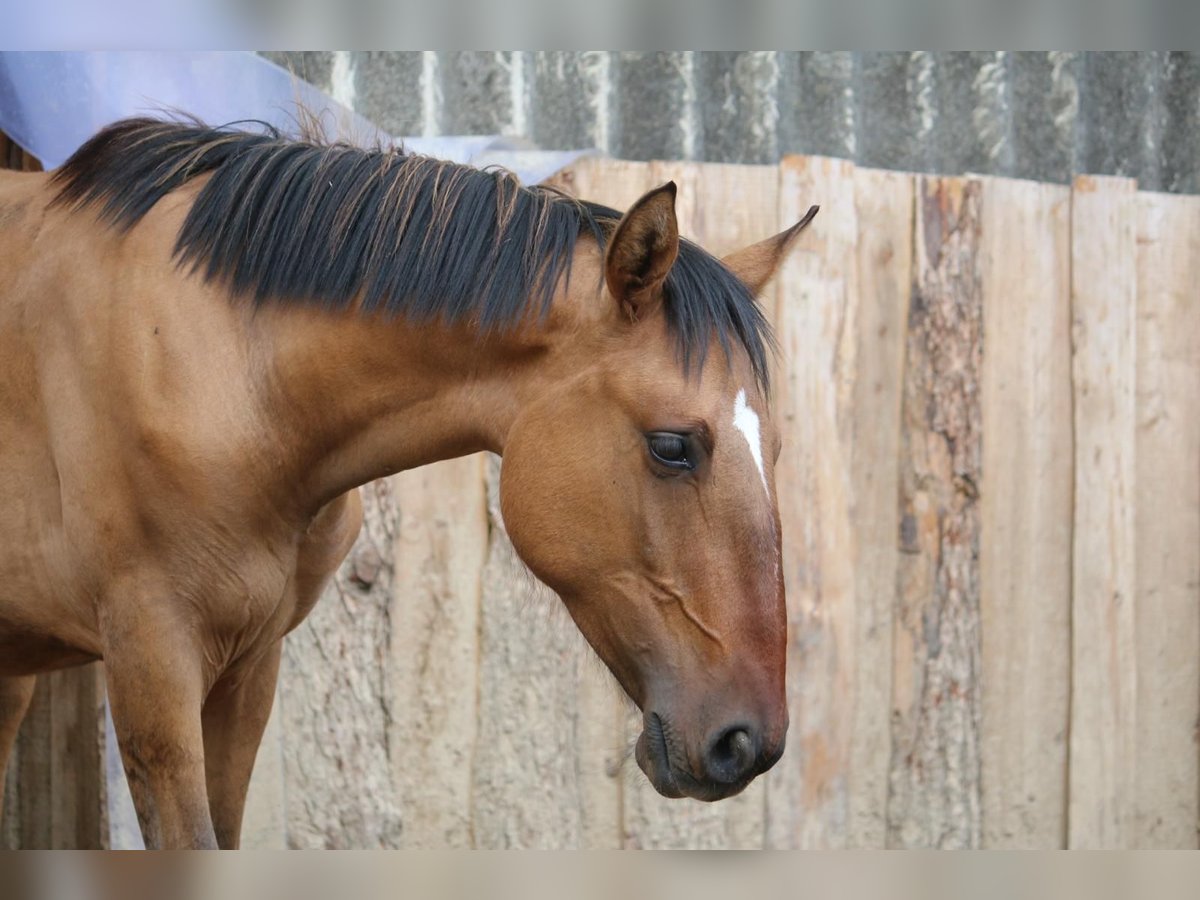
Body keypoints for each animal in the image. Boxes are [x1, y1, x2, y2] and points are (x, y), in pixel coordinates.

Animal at [0, 118, 816, 844]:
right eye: (672, 446)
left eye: (776, 447)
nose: (749, 743)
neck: (221, 369)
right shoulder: (153, 662)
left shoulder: (247, 667)